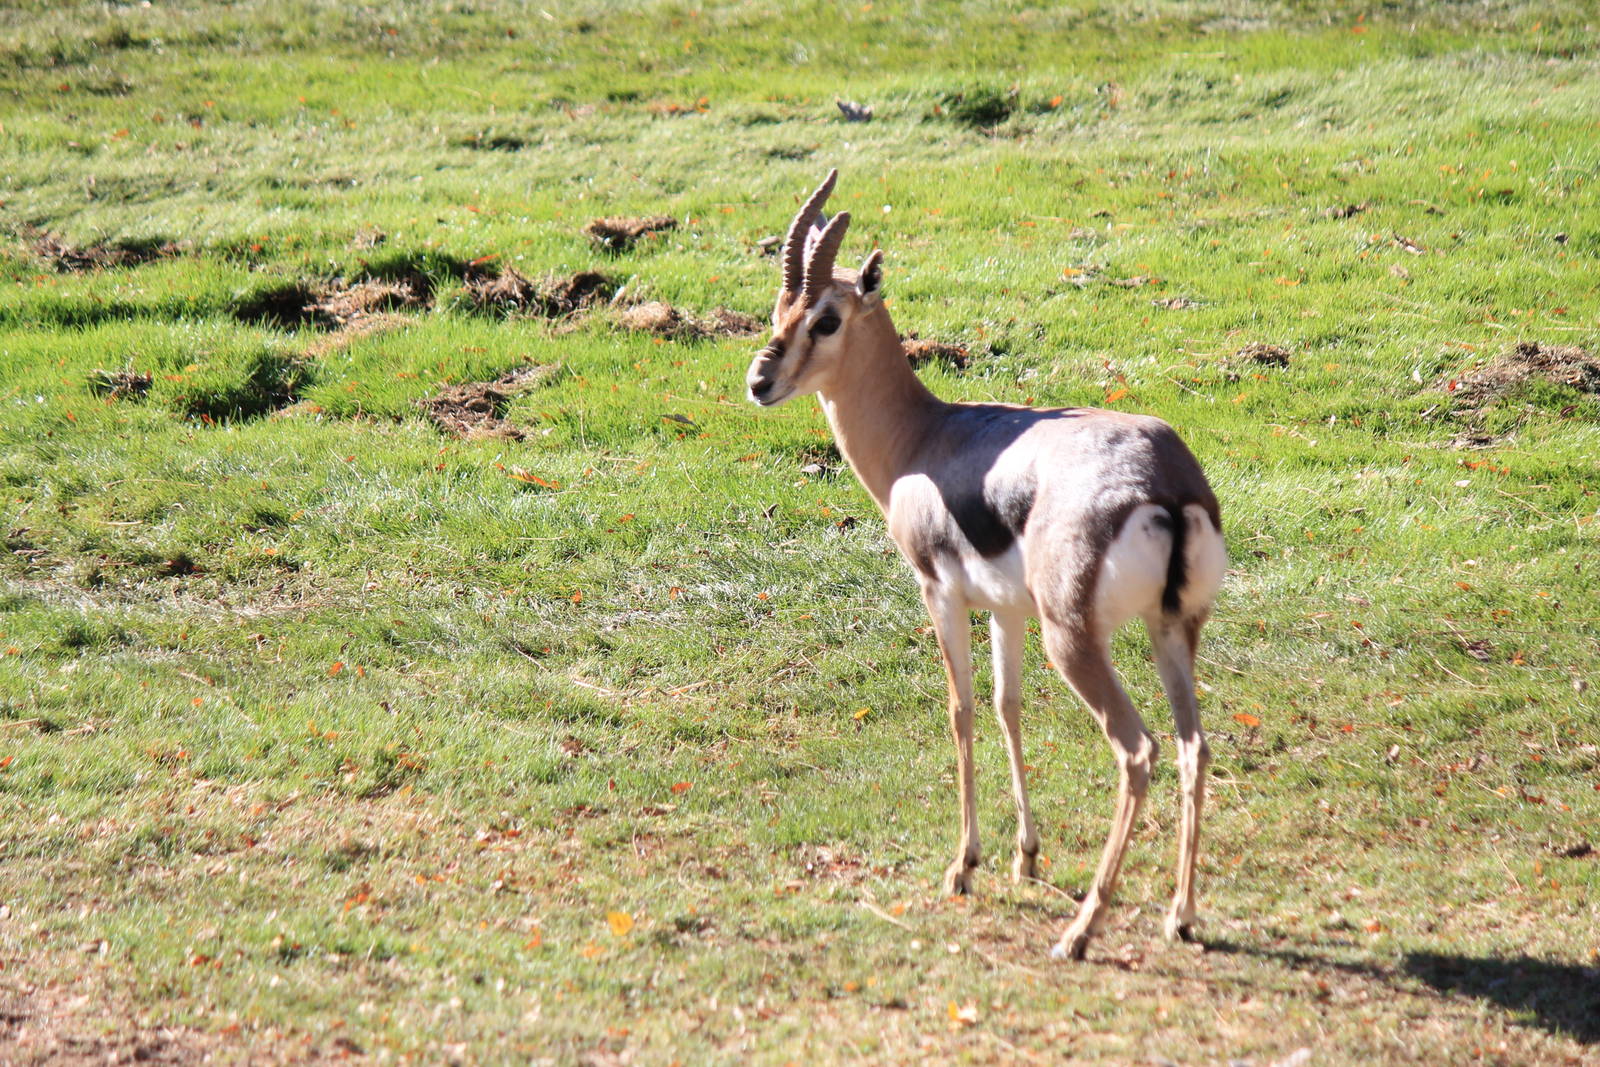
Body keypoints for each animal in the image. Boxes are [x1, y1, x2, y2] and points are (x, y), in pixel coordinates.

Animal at [745, 171, 1226, 959]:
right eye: (779, 308)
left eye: (826, 319)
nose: (760, 381)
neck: (923, 437)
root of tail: (1167, 482)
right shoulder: (1006, 609)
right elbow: (1008, 705)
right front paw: (1025, 857)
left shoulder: (939, 592)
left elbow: (961, 708)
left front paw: (963, 866)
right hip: (1172, 630)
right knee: (1193, 746)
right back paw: (1180, 916)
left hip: (1076, 639)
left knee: (1138, 750)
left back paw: (1081, 930)